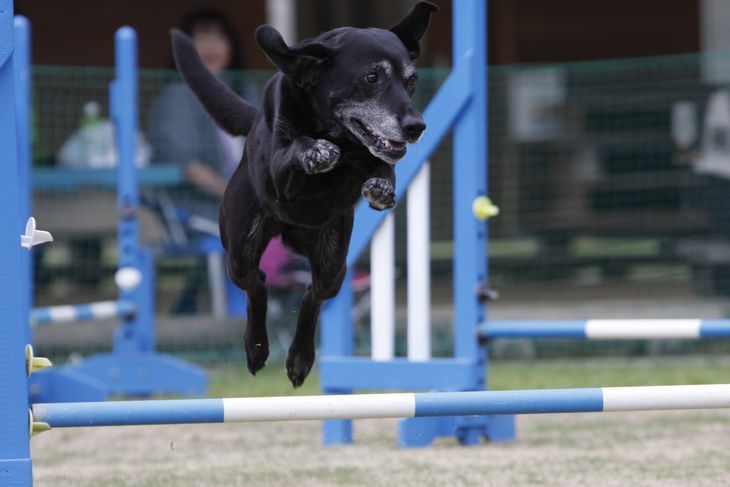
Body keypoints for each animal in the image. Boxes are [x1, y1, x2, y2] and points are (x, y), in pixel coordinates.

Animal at [173, 0, 436, 388]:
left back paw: (299, 359)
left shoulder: (376, 157)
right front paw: (316, 151)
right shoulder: (281, 170)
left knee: (312, 294)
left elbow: (383, 164)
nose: (417, 127)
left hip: (333, 262)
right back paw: (256, 348)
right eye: (371, 77)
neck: (337, 131)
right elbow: (295, 148)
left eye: (411, 80)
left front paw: (381, 186)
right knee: (257, 284)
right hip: (240, 249)